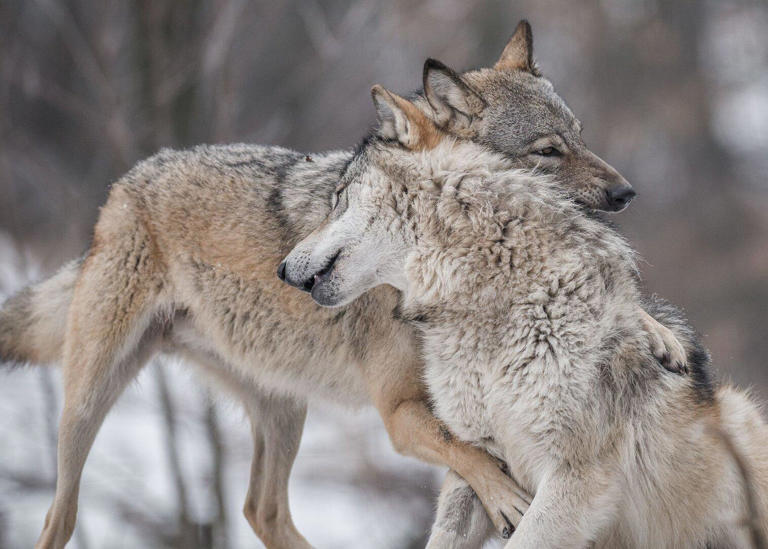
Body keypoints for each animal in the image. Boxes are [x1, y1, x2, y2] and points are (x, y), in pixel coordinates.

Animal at [0, 22, 684, 548]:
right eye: (546, 152)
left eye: (581, 138)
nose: (626, 193)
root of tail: (126, 182)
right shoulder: (398, 414)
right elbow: (470, 454)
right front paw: (504, 496)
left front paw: (656, 333)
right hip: (88, 404)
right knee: (60, 515)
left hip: (285, 408)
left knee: (262, 510)